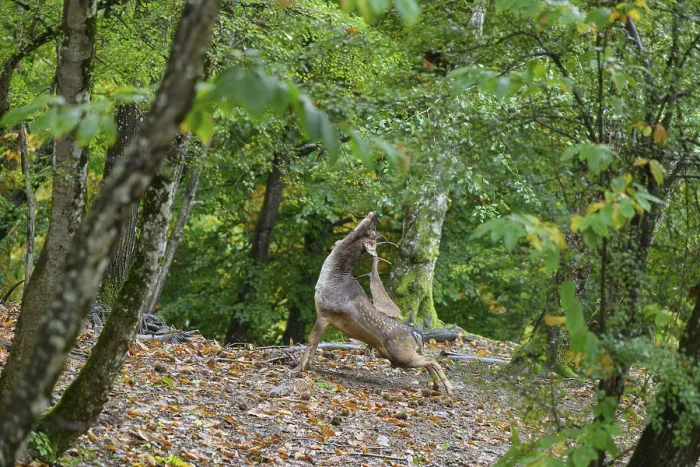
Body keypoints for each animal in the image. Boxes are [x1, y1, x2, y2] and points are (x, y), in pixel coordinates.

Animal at [297, 212, 453, 394]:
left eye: (371, 232)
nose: (375, 214)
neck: (331, 280)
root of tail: (416, 334)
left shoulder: (325, 312)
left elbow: (311, 340)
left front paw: (299, 368)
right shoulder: (324, 316)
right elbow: (317, 342)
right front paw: (310, 366)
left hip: (401, 354)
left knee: (431, 358)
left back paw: (449, 388)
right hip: (404, 355)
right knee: (428, 360)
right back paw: (436, 386)